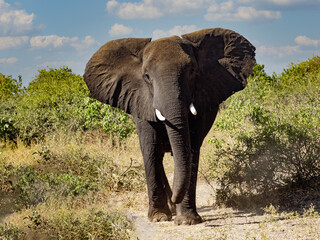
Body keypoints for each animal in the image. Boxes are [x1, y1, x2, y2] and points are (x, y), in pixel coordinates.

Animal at [84, 27, 256, 225]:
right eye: (147, 77)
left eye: (192, 71)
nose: (175, 198)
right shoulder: (139, 99)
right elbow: (150, 149)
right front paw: (158, 218)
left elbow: (190, 149)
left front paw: (187, 221)